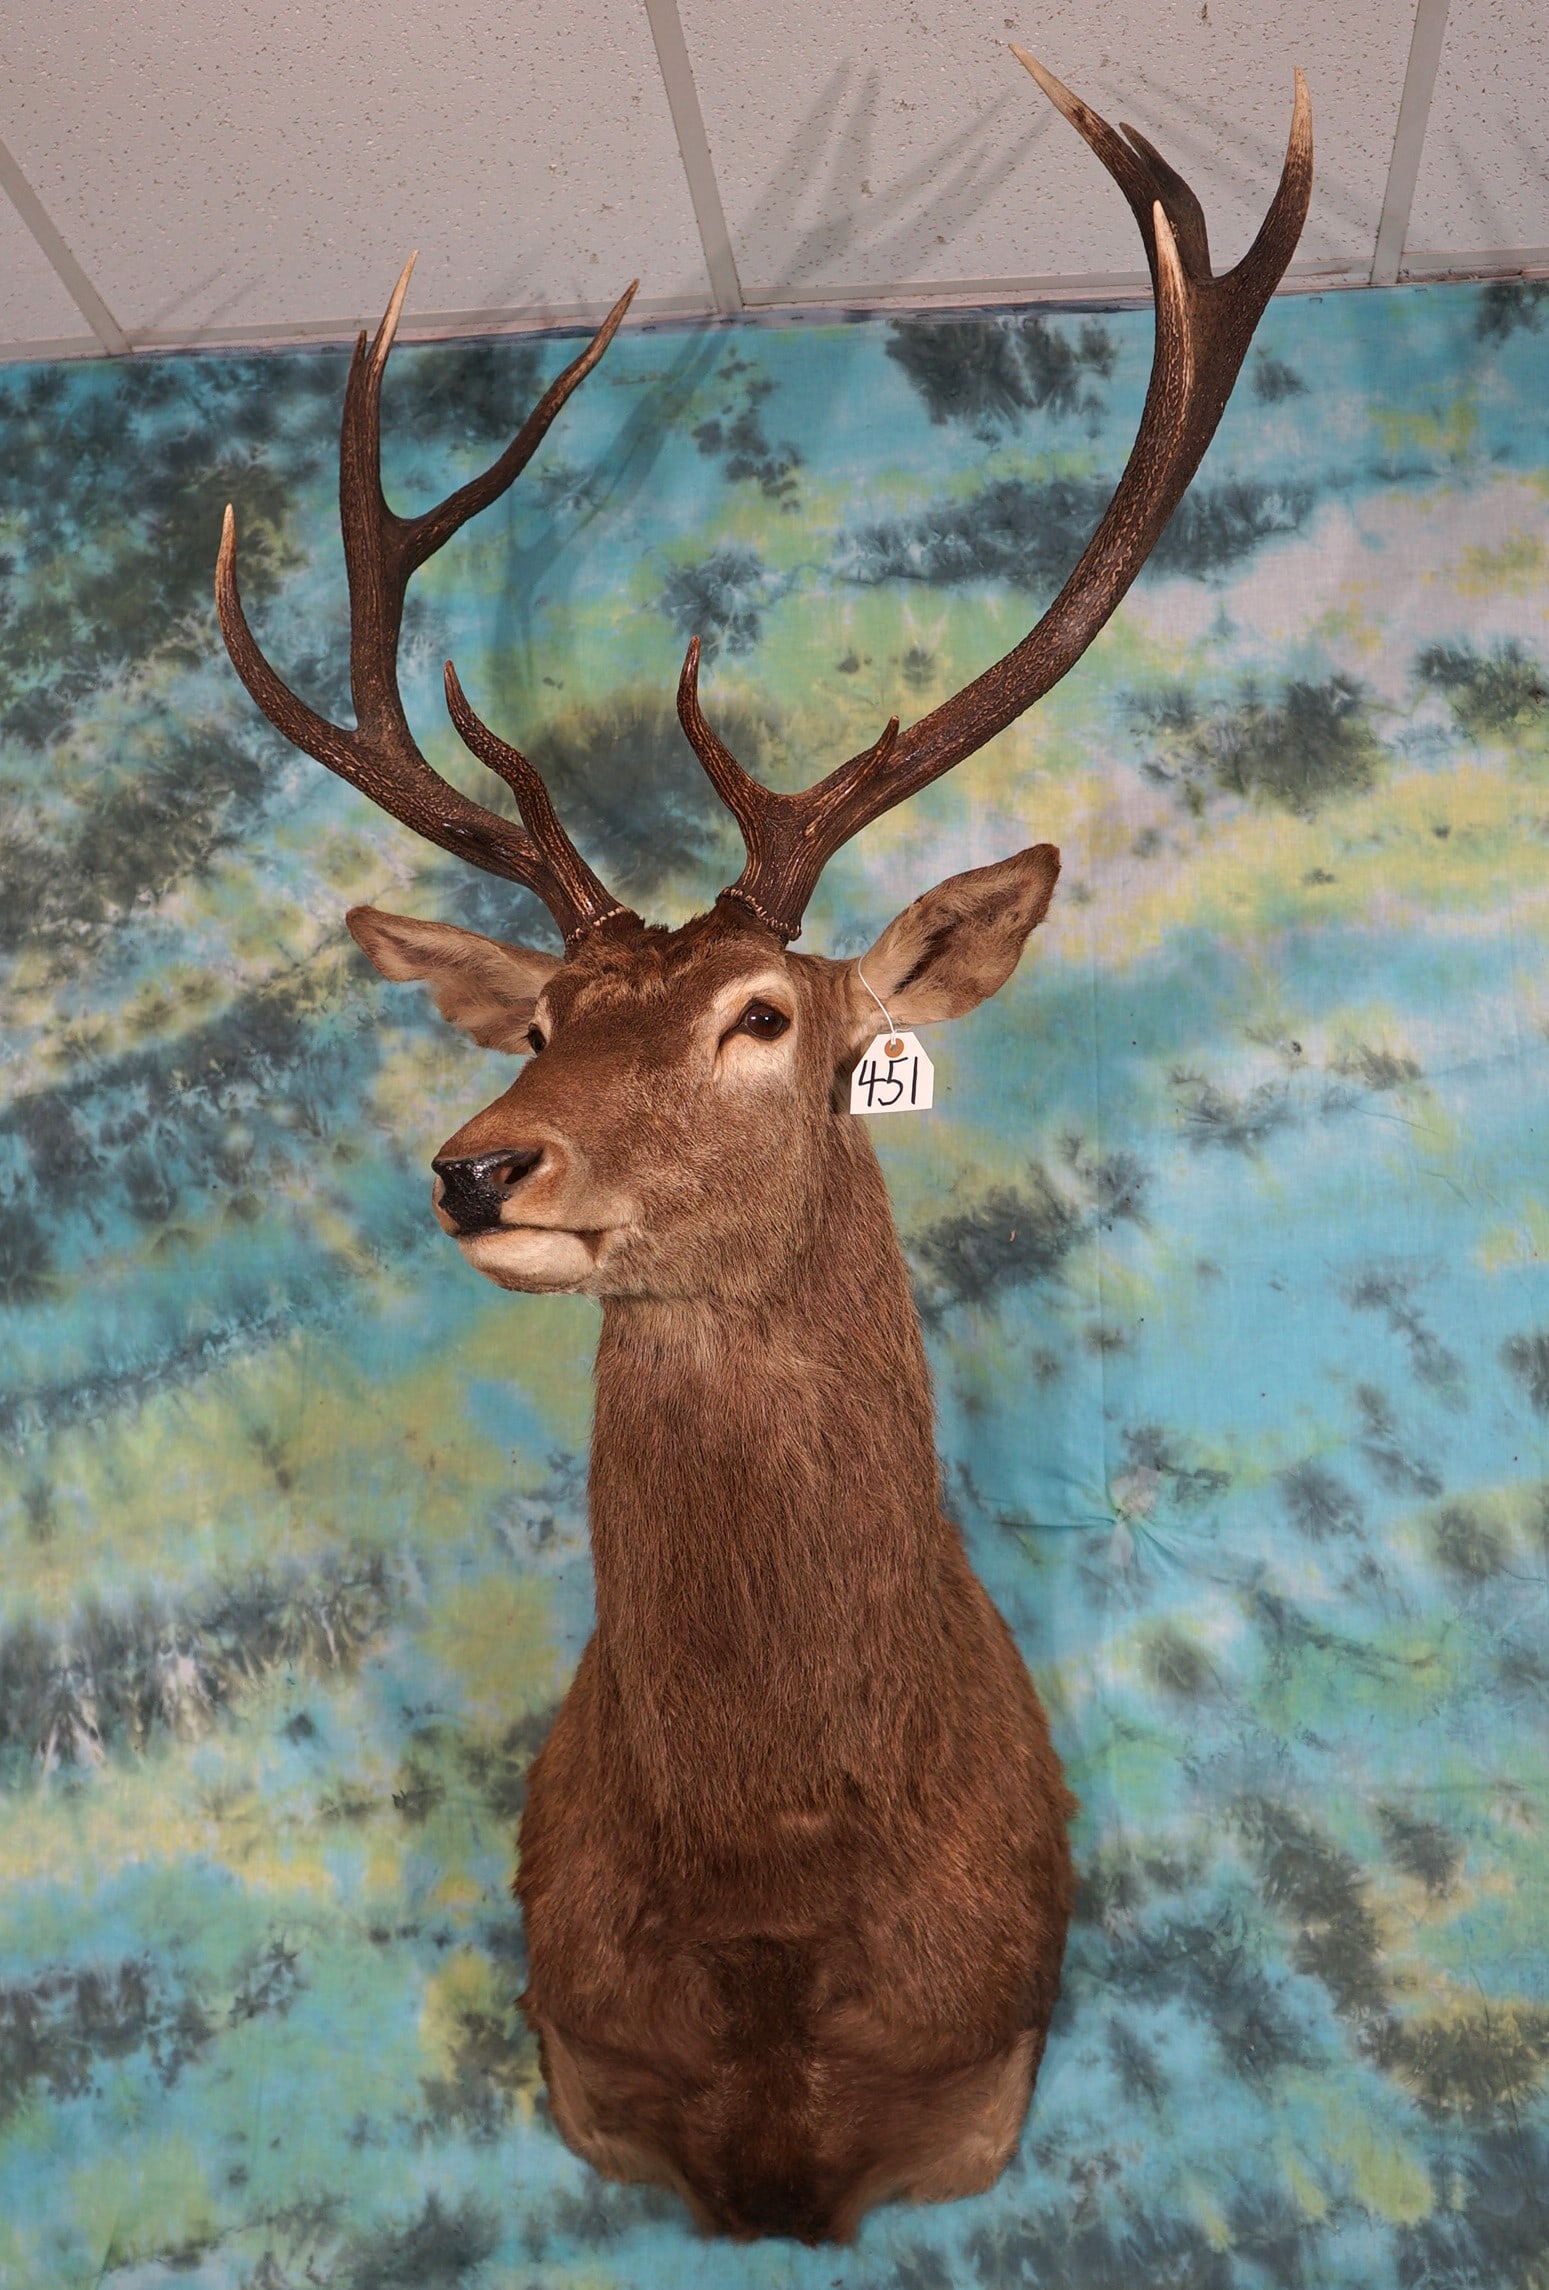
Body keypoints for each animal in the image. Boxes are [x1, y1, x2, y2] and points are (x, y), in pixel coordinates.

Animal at [215, 52, 1310, 2243]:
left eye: (764, 1019)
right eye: (537, 1022)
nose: (480, 1165)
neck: (772, 1917)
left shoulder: (980, 2080)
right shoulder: (589, 2077)